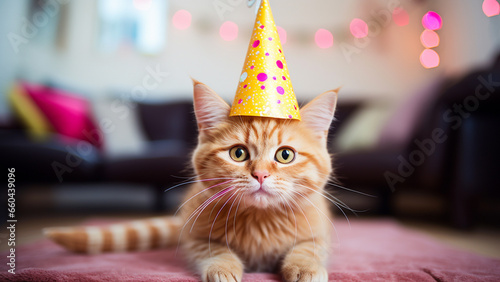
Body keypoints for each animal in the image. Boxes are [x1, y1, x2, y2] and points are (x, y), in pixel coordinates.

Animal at [45, 80, 338, 282]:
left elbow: (306, 249)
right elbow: (214, 251)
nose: (261, 174)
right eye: (238, 153)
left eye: (285, 155)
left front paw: (304, 268)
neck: (260, 221)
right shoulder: (194, 236)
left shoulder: (320, 234)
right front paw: (223, 268)